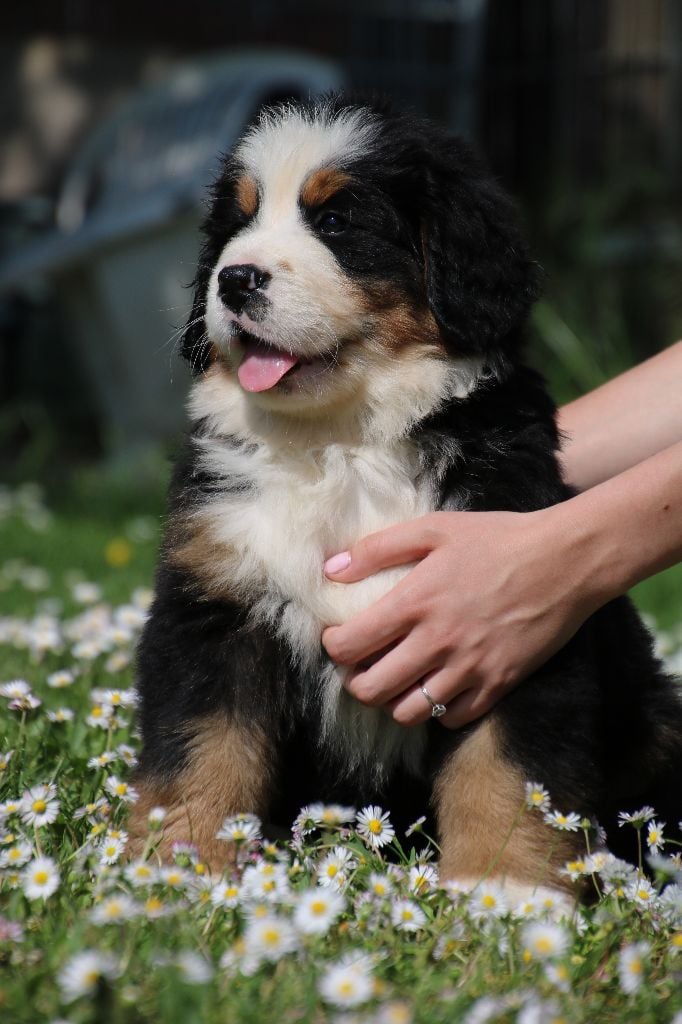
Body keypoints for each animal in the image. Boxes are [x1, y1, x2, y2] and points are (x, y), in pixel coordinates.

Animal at [129, 94, 679, 897]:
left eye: (337, 220)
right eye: (238, 223)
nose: (233, 280)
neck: (344, 448)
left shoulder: (515, 628)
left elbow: (504, 773)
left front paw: (502, 892)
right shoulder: (216, 608)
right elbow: (203, 749)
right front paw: (181, 869)